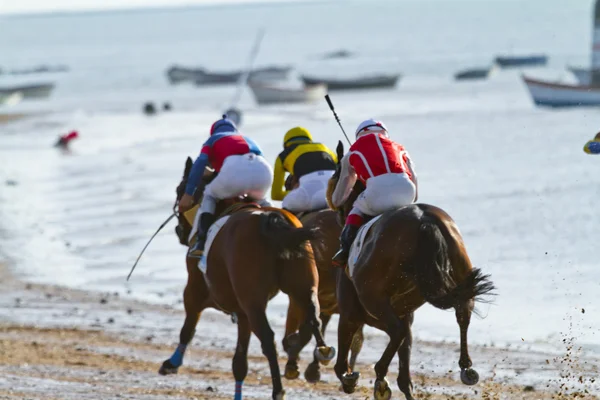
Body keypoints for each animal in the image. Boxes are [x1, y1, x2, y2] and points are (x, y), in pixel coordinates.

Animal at [157, 158, 336, 398]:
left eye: (179, 190)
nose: (179, 231)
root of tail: (272, 221)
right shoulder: (241, 312)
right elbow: (239, 361)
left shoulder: (195, 288)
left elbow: (188, 328)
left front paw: (172, 363)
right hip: (303, 284)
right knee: (313, 317)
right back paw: (315, 350)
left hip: (253, 300)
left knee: (268, 339)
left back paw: (279, 389)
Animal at [326, 141, 494, 400]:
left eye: (335, 173)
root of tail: (423, 220)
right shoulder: (404, 315)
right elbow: (405, 372)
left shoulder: (349, 313)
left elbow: (341, 364)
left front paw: (351, 379)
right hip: (459, 266)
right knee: (463, 310)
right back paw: (466, 368)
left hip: (372, 296)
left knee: (396, 331)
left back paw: (379, 371)